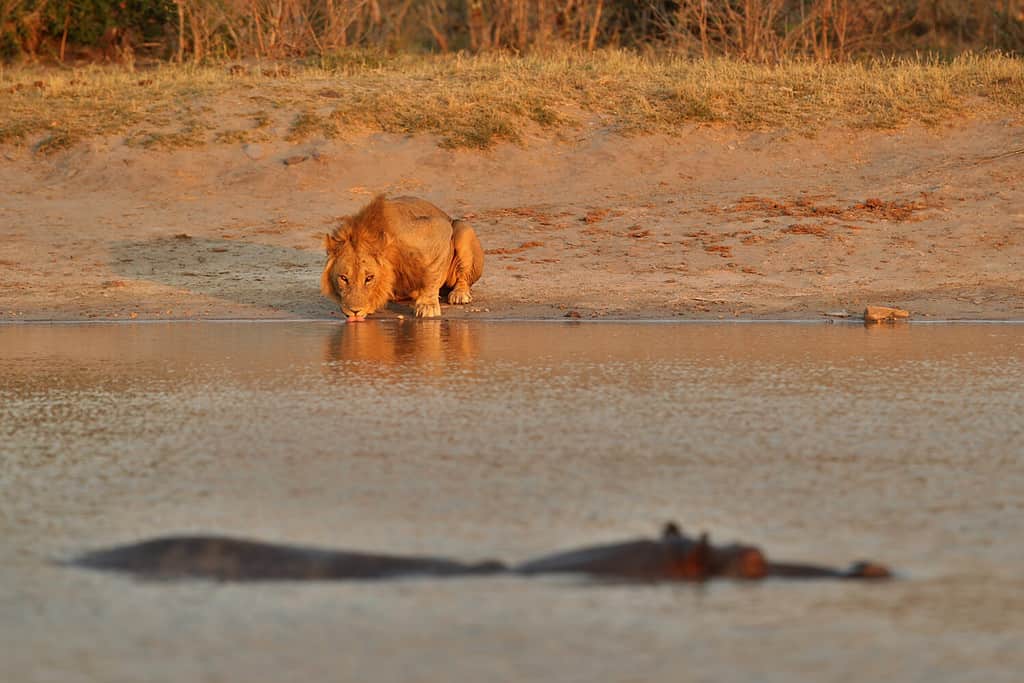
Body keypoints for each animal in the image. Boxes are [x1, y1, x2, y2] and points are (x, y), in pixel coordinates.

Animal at [319, 193, 483, 319]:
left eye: (369, 278)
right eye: (343, 278)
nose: (354, 311)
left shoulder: (438, 228)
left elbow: (432, 272)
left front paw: (427, 305)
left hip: (462, 229)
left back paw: (459, 294)